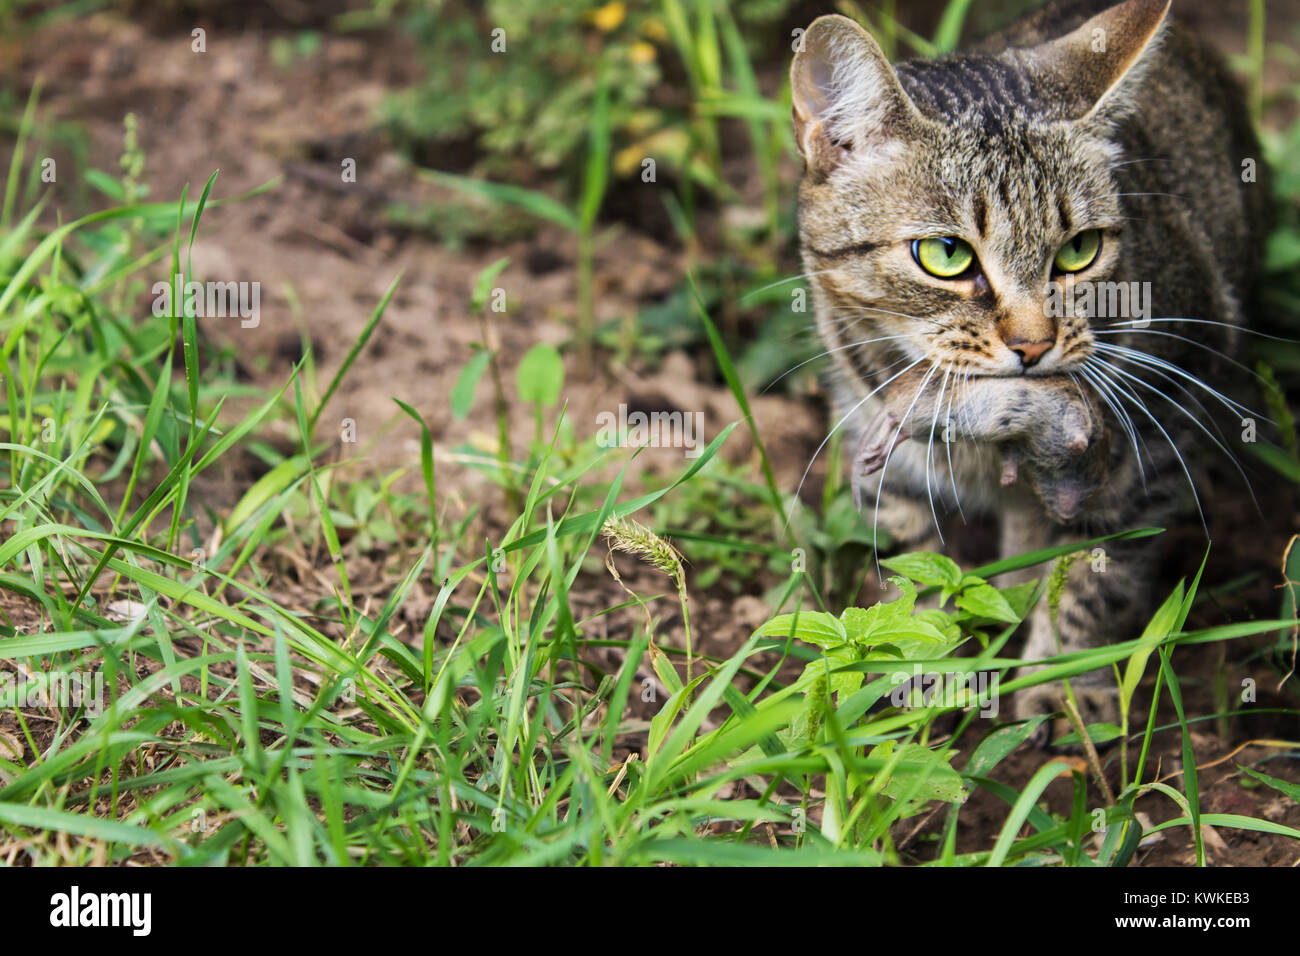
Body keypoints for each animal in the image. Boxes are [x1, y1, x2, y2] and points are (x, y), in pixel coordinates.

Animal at [790, 1, 1268, 733]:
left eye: (1080, 250)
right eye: (946, 254)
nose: (1035, 343)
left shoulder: (1153, 444)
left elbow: (1097, 577)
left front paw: (1065, 683)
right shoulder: (878, 439)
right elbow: (910, 577)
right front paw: (919, 676)